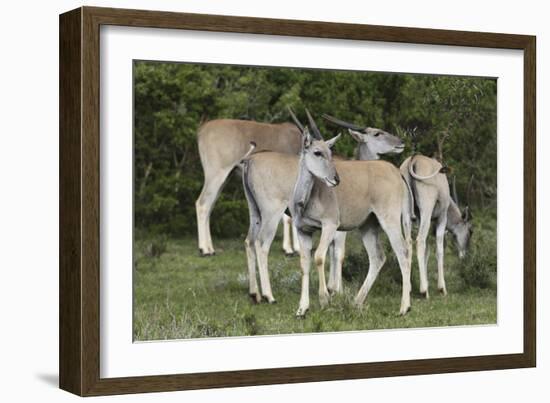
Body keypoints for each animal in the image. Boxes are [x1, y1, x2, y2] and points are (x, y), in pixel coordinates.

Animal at [197, 118, 304, 256]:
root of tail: (203, 129)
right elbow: (289, 218)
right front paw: (290, 249)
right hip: (215, 176)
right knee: (202, 204)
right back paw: (204, 250)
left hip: (224, 180)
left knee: (209, 207)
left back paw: (210, 248)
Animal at [244, 109, 412, 316]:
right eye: (377, 133)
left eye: (330, 152)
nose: (400, 142)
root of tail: (397, 172)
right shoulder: (313, 230)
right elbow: (315, 259)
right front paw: (314, 302)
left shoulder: (331, 226)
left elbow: (320, 257)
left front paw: (326, 296)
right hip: (272, 214)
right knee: (260, 244)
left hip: (382, 222)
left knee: (397, 253)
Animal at [402, 155, 474, 296]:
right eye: (470, 231)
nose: (465, 256)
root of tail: (415, 158)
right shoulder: (441, 218)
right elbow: (439, 249)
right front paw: (441, 288)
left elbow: (427, 252)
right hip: (426, 211)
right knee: (419, 240)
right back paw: (424, 290)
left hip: (407, 215)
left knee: (408, 242)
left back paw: (409, 288)